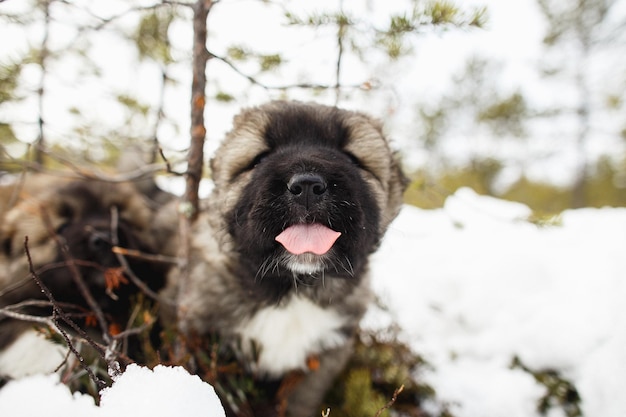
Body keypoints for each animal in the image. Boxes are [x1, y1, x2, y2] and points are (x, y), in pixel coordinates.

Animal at [165, 101, 404, 416]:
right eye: (260, 158)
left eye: (353, 158)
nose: (307, 186)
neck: (294, 290)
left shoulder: (323, 360)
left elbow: (299, 402)